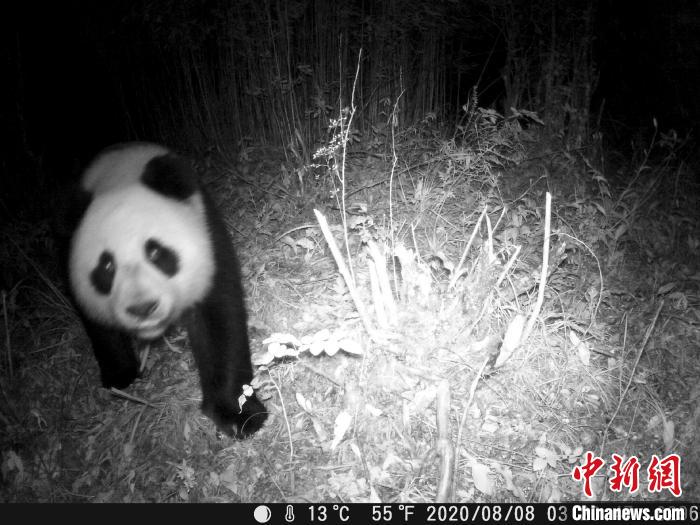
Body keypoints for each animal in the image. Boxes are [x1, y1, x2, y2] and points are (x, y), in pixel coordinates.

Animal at [68, 141, 266, 436]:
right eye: (107, 266)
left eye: (156, 252)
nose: (142, 308)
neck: (119, 177)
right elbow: (98, 324)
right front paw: (121, 375)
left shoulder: (207, 235)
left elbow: (218, 321)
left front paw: (239, 415)